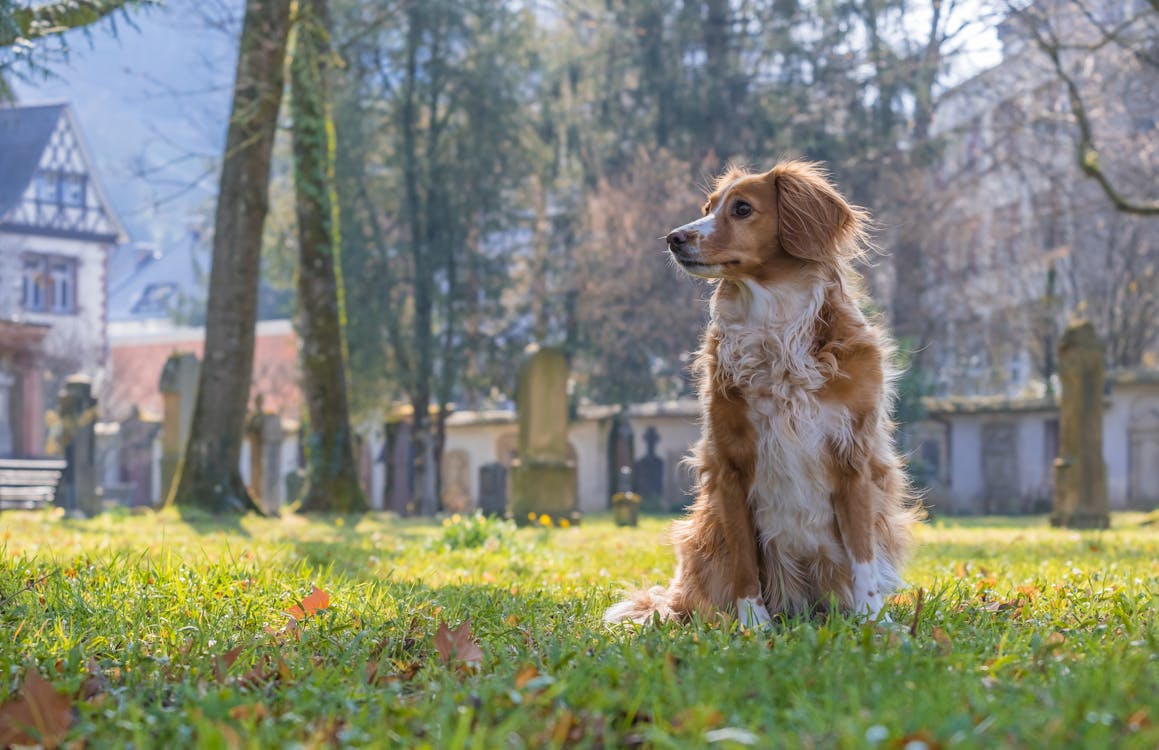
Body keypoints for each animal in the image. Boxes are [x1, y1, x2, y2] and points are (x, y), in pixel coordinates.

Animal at [607, 159, 922, 625]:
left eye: (741, 209)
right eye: (707, 207)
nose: (673, 238)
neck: (775, 321)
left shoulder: (855, 460)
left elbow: (863, 556)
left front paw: (874, 622)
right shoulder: (731, 464)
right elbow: (744, 562)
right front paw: (753, 626)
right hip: (702, 539)